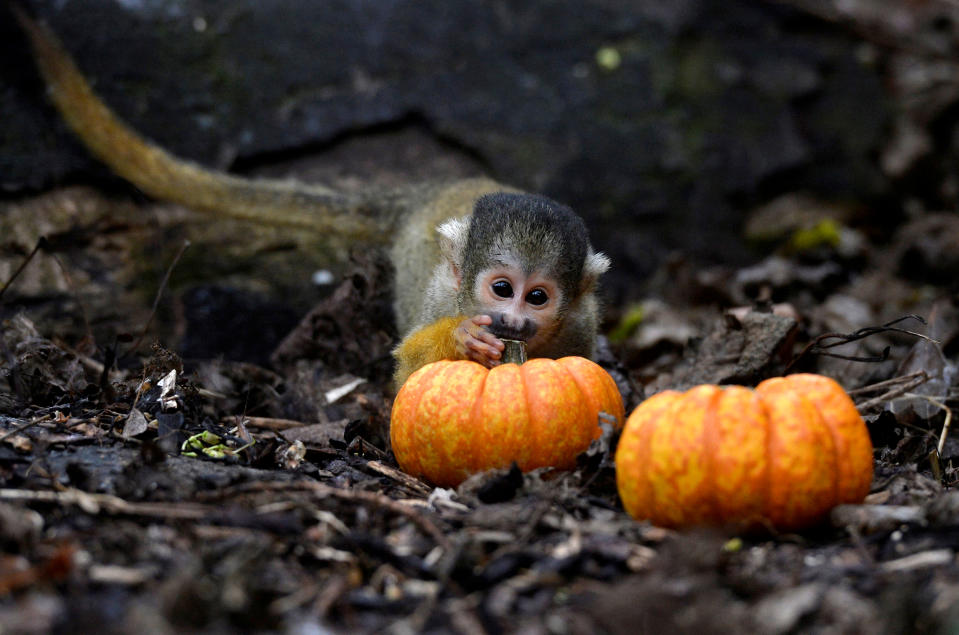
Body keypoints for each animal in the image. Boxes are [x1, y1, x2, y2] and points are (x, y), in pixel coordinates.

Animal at [11, 7, 612, 388]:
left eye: (538, 298)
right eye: (502, 289)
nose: (512, 321)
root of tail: (429, 189)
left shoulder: (581, 324)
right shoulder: (445, 298)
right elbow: (411, 375)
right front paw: (464, 339)